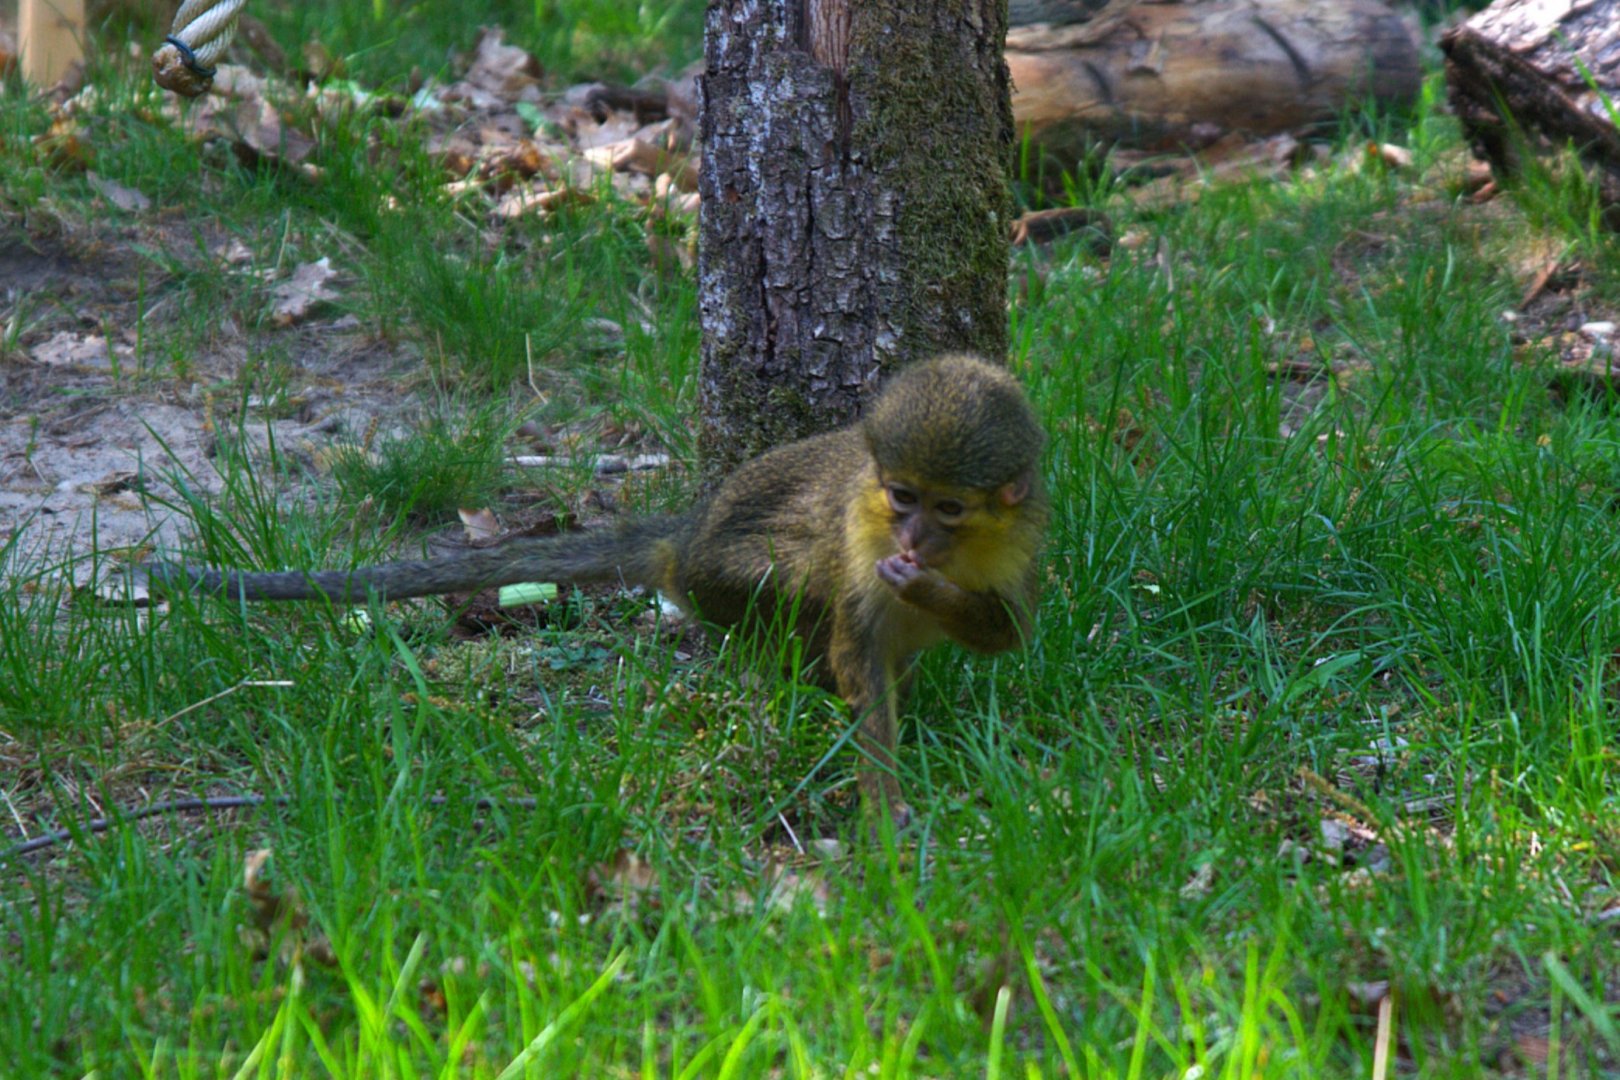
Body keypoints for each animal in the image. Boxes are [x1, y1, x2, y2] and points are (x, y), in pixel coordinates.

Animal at [152, 353, 1048, 816]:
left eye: (947, 506)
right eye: (901, 496)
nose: (911, 538)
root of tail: (682, 537)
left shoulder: (1019, 538)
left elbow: (1007, 633)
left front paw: (930, 597)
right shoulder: (861, 530)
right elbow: (856, 648)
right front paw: (883, 801)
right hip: (716, 580)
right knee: (797, 584)